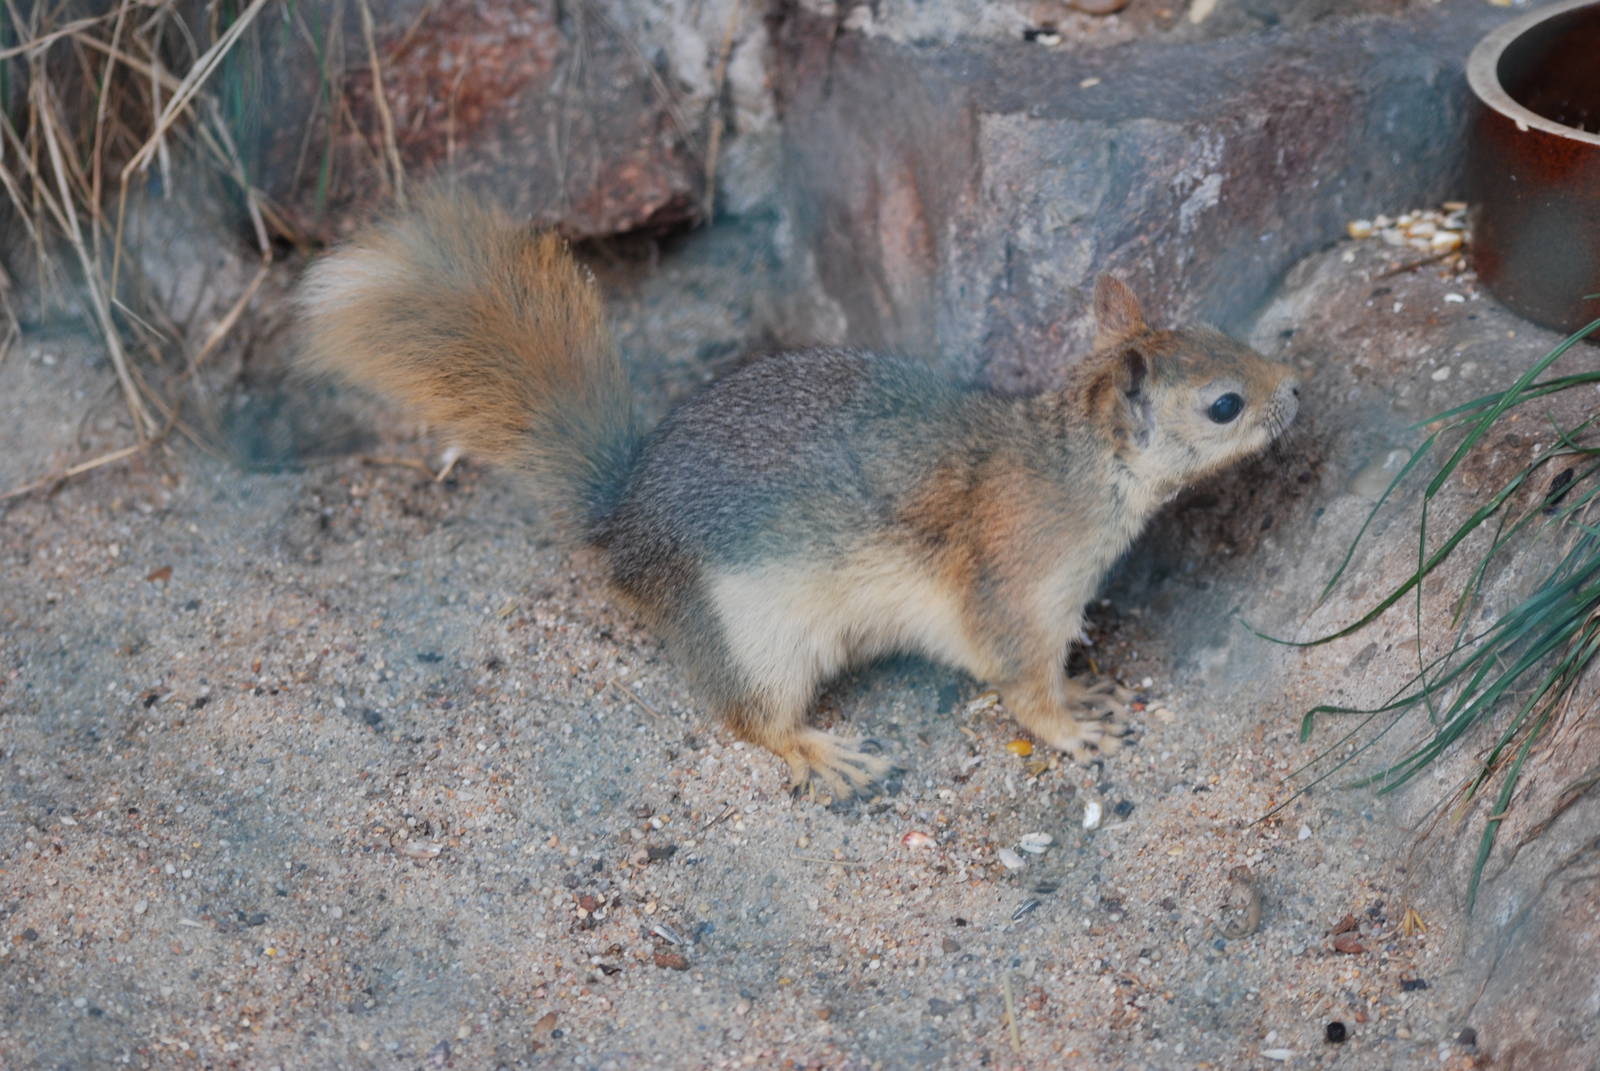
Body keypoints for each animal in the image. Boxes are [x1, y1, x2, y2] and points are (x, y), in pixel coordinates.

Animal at [297, 195, 1300, 800]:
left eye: (1218, 330)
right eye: (1224, 403)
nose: (1296, 387)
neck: (1071, 467)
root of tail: (622, 532)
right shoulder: (1014, 596)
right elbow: (1023, 688)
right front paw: (1075, 725)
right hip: (761, 641)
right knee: (751, 722)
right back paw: (824, 750)